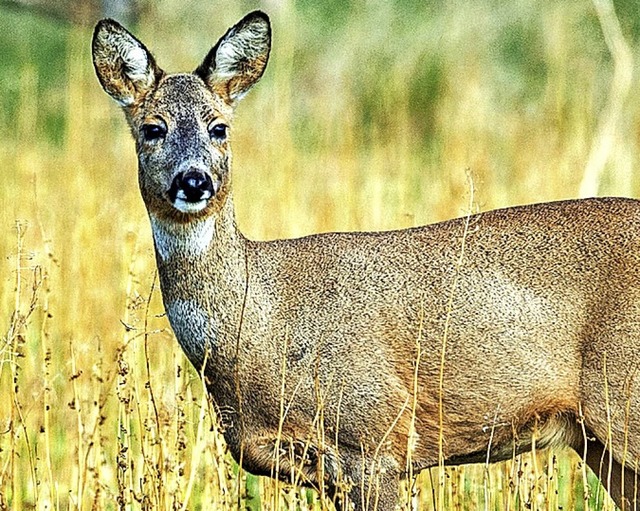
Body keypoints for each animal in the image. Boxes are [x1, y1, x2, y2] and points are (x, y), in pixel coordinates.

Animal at [94, 9, 640, 511]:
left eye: (219, 128)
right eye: (152, 128)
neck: (264, 324)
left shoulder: (374, 438)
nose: (194, 181)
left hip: (623, 402)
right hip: (598, 442)